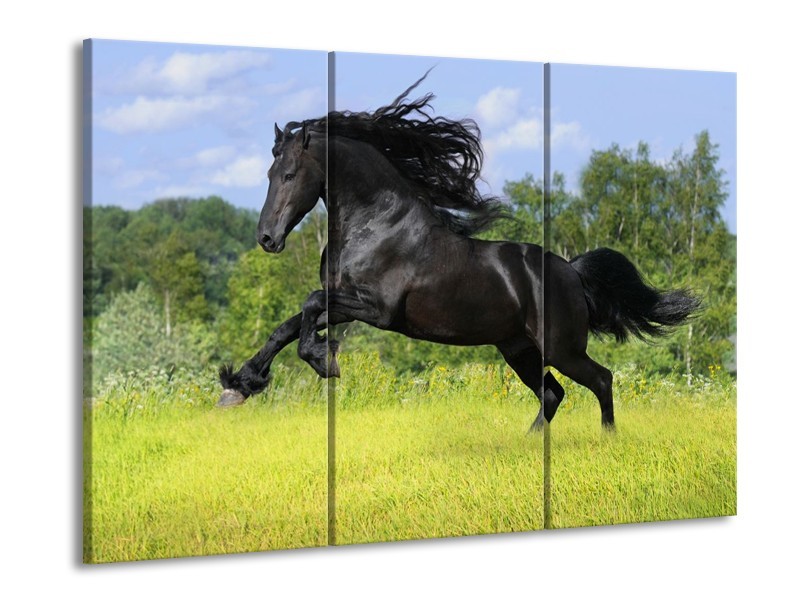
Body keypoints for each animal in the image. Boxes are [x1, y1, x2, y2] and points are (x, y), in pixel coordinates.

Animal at [218, 75, 699, 430]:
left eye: (290, 174)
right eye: (268, 173)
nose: (267, 238)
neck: (375, 225)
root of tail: (572, 271)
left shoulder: (377, 310)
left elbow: (309, 305)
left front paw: (324, 359)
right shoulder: (347, 303)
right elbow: (288, 325)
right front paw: (238, 385)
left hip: (561, 347)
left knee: (600, 379)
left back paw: (606, 439)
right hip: (518, 349)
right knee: (552, 393)